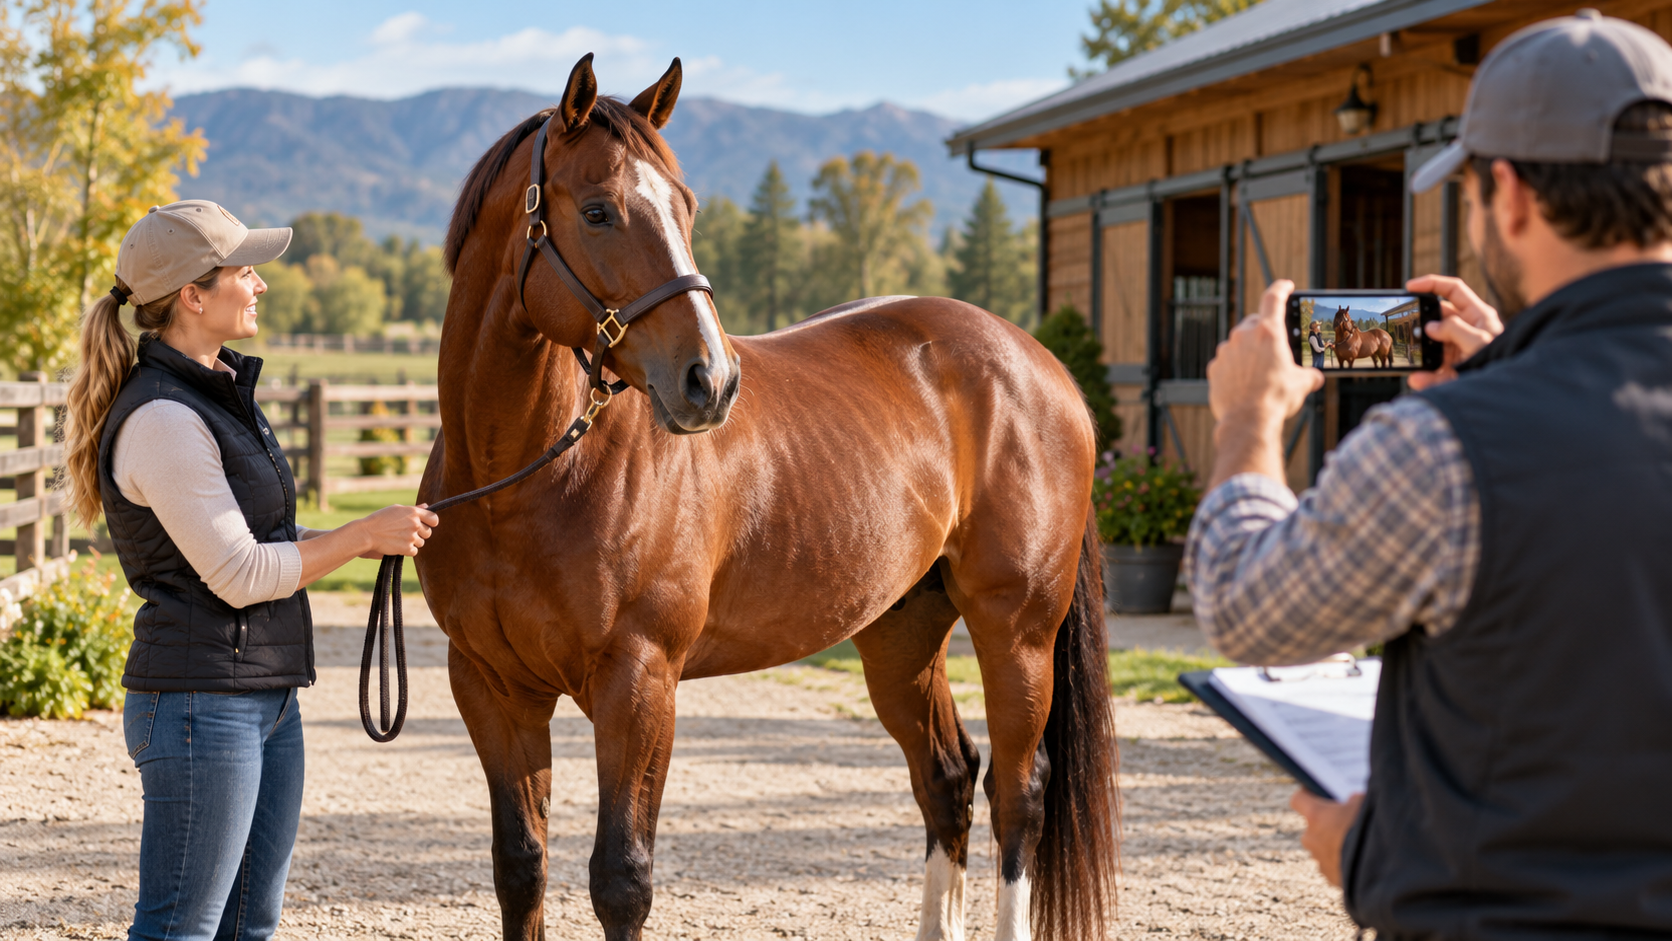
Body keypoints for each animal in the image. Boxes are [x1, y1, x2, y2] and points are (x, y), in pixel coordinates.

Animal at [414, 54, 1118, 941]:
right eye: (600, 210)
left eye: (684, 206)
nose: (710, 381)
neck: (524, 482)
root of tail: (1041, 365)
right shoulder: (491, 688)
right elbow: (520, 867)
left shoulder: (639, 684)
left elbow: (621, 878)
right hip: (900, 631)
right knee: (947, 776)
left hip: (1016, 630)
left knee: (1018, 793)